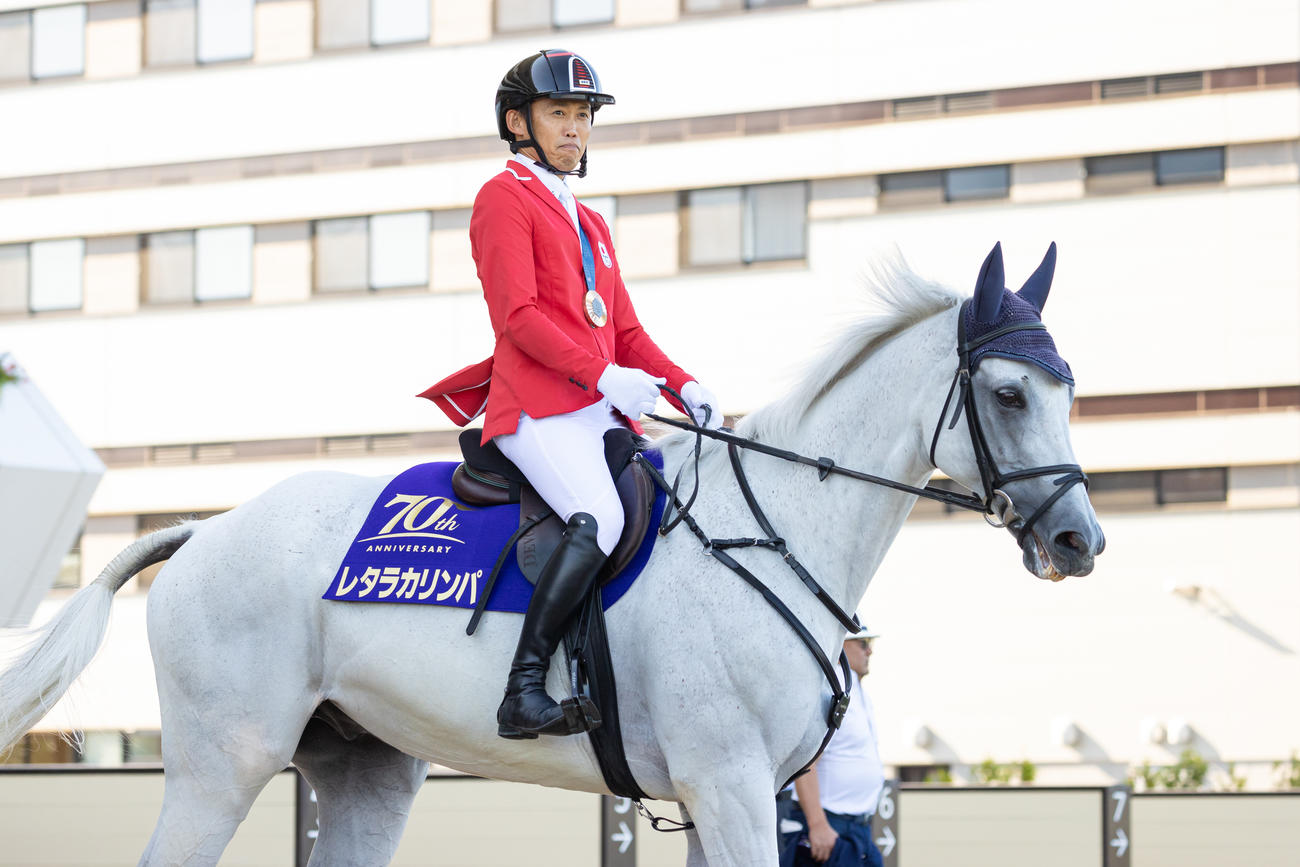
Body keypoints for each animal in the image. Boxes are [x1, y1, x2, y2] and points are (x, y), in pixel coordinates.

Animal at [0, 244, 1103, 866]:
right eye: (1009, 392)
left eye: (1068, 388)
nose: (1080, 541)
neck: (780, 523)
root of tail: (205, 530)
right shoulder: (735, 788)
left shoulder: (717, 797)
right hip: (221, 765)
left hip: (363, 772)